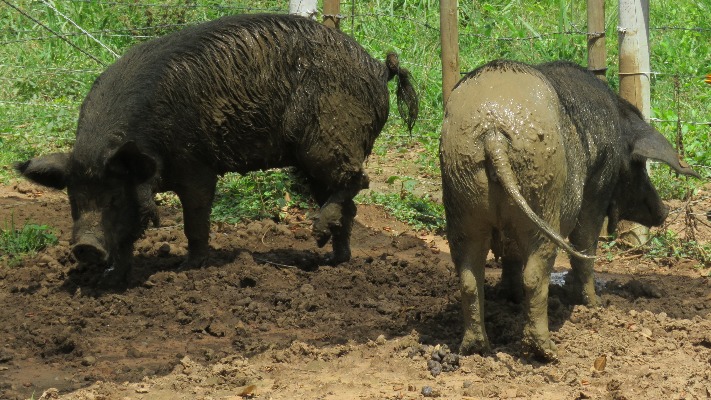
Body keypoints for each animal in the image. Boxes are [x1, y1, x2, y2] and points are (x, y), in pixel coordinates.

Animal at [15, 14, 418, 286]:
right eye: (73, 198)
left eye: (113, 196)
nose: (85, 247)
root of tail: (378, 68)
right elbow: (131, 233)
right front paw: (114, 279)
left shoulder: (196, 166)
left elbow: (195, 219)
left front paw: (186, 268)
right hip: (317, 159)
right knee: (347, 204)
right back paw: (334, 260)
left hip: (328, 141)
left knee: (358, 181)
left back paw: (319, 235)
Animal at [442, 61, 700, 360]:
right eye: (639, 165)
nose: (664, 211)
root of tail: (493, 134)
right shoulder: (597, 186)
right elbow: (585, 242)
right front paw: (595, 304)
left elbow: (511, 255)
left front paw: (510, 298)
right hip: (543, 196)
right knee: (535, 274)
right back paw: (547, 351)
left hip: (461, 196)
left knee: (469, 275)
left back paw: (475, 349)